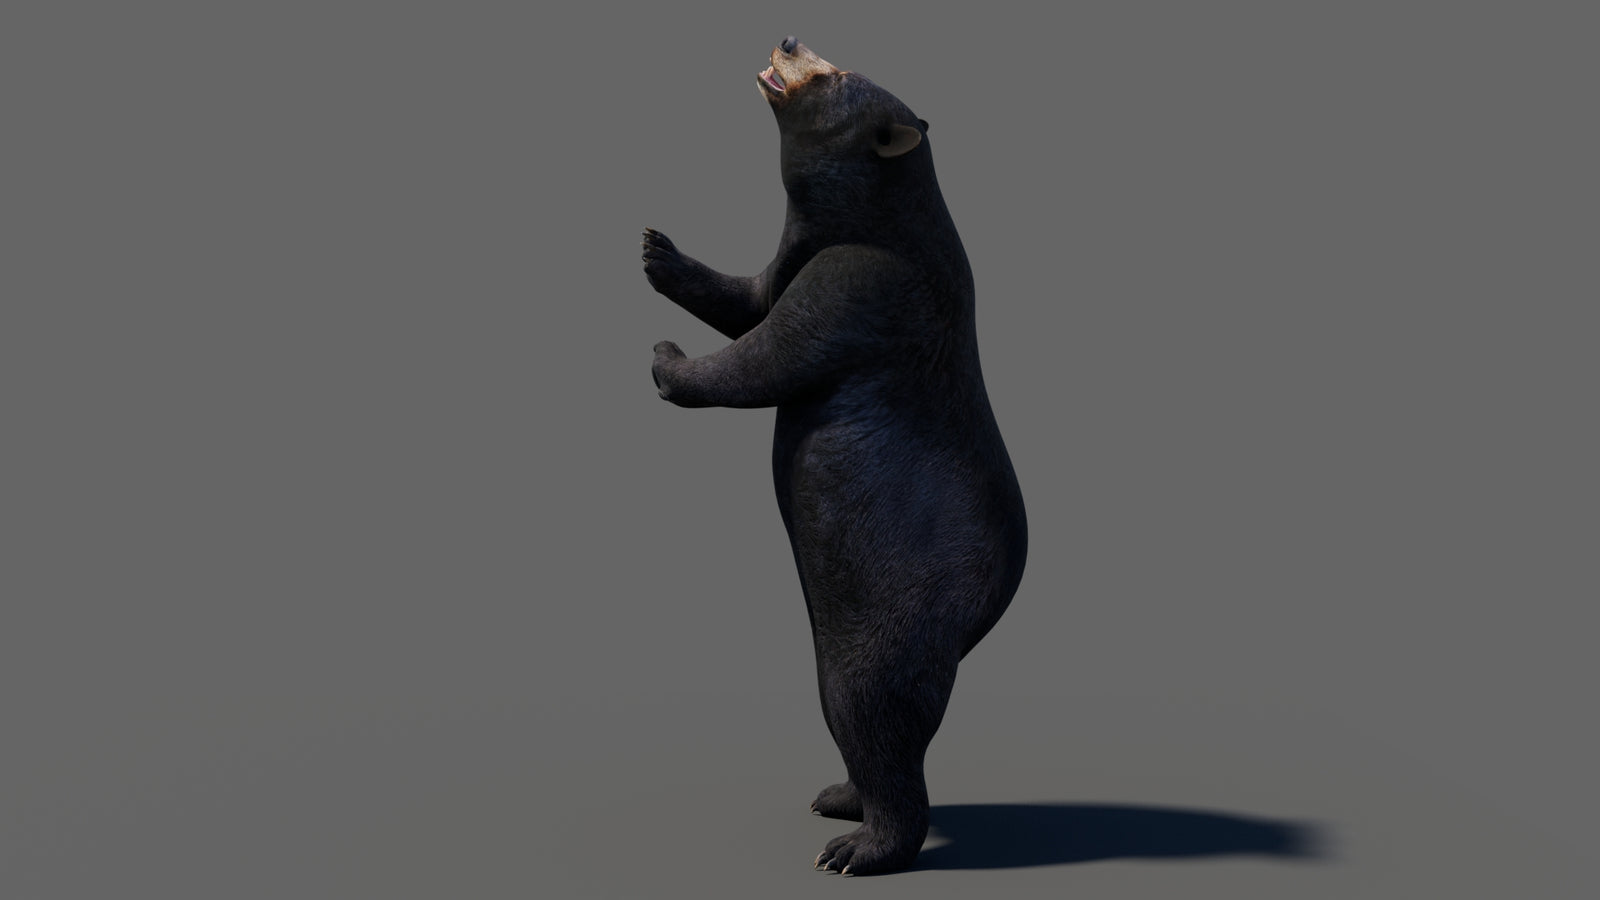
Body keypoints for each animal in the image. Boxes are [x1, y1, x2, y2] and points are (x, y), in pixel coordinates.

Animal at [643, 36, 1027, 875]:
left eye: (833, 75)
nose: (790, 39)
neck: (876, 214)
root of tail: (981, 617)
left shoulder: (865, 278)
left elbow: (772, 352)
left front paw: (665, 360)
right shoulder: (801, 253)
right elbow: (751, 295)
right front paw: (656, 251)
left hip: (894, 613)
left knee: (872, 708)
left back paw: (858, 848)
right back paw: (837, 796)